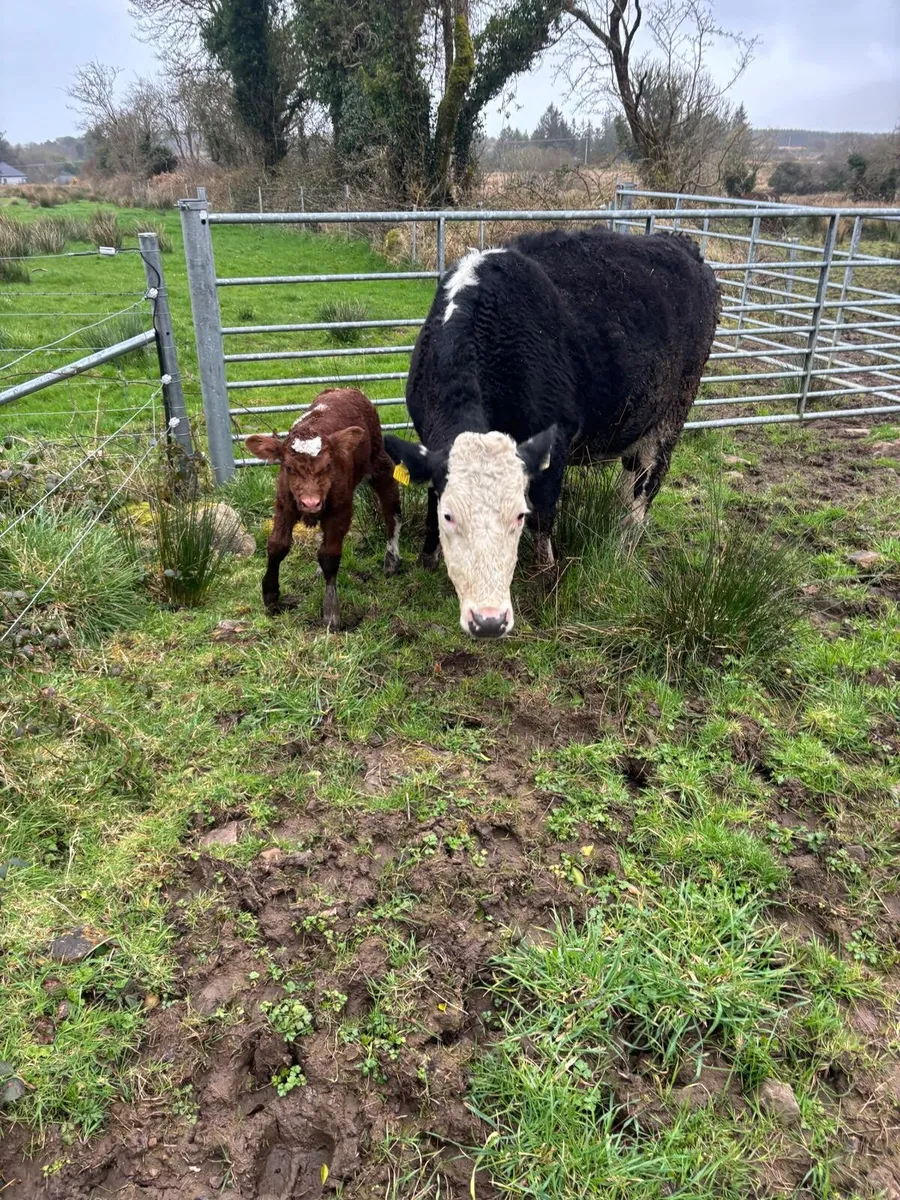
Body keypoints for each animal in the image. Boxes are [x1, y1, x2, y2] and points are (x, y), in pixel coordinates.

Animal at [246, 388, 401, 631]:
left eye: (328, 465)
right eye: (288, 467)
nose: (311, 503)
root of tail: (345, 390)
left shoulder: (340, 509)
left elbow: (330, 555)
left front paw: (331, 612)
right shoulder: (284, 503)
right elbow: (277, 546)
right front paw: (270, 595)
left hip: (379, 463)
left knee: (391, 509)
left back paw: (391, 558)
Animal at [384, 225, 719, 639]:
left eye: (515, 516)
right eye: (452, 517)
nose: (487, 619)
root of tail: (680, 242)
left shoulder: (554, 446)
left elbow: (543, 514)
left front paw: (545, 579)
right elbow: (432, 500)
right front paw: (428, 556)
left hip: (672, 414)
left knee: (647, 483)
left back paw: (625, 541)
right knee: (630, 479)